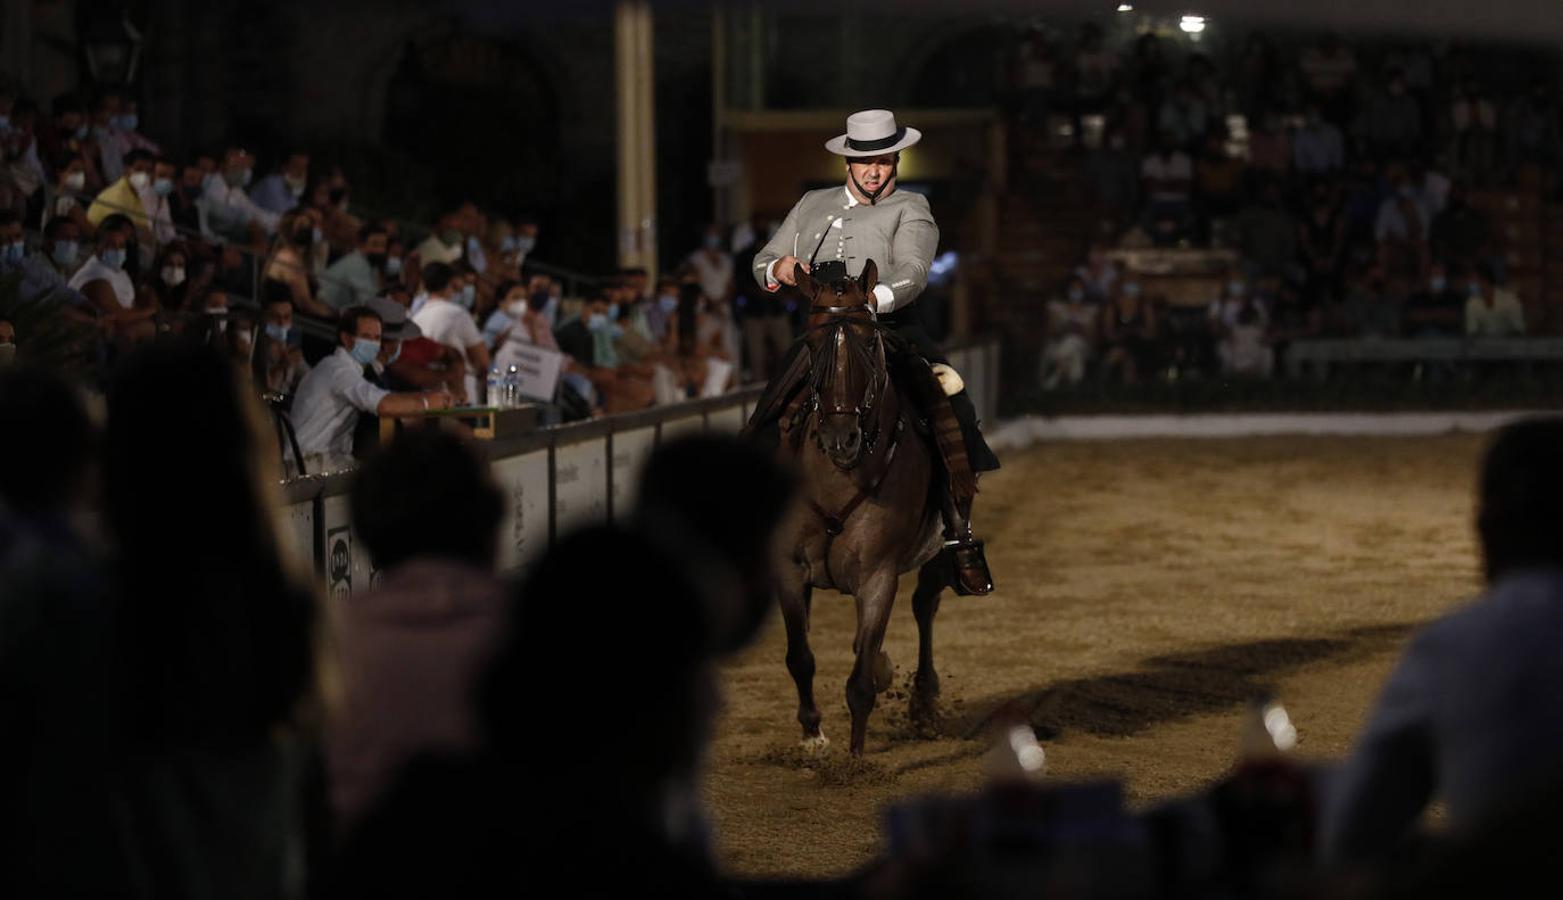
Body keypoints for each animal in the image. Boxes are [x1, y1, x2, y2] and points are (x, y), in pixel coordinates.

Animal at [772, 262, 944, 759]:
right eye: (812, 344)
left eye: (870, 342)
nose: (841, 437)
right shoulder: (788, 567)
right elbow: (800, 656)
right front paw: (813, 734)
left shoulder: (878, 576)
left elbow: (861, 681)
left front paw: (854, 759)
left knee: (926, 604)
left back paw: (924, 699)